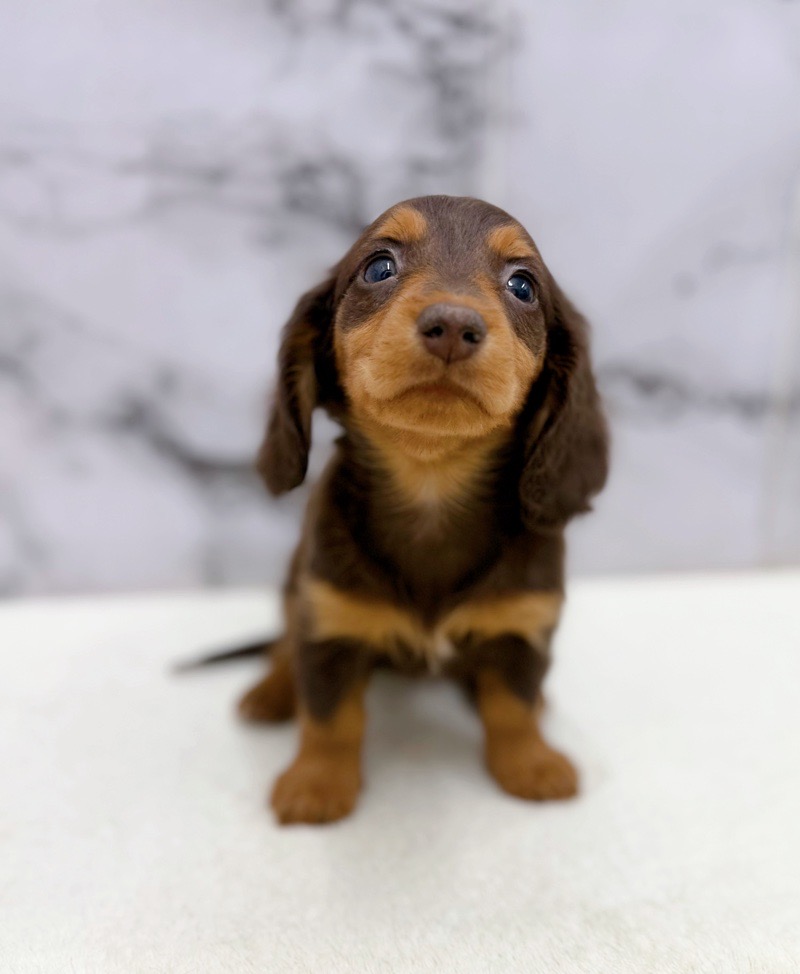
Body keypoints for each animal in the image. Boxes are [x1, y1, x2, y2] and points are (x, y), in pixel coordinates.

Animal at [231, 195, 608, 824]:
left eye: (523, 285)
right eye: (378, 267)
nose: (453, 324)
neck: (432, 484)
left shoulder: (522, 627)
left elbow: (512, 707)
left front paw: (530, 764)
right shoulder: (329, 621)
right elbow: (330, 717)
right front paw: (316, 784)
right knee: (285, 644)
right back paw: (272, 691)